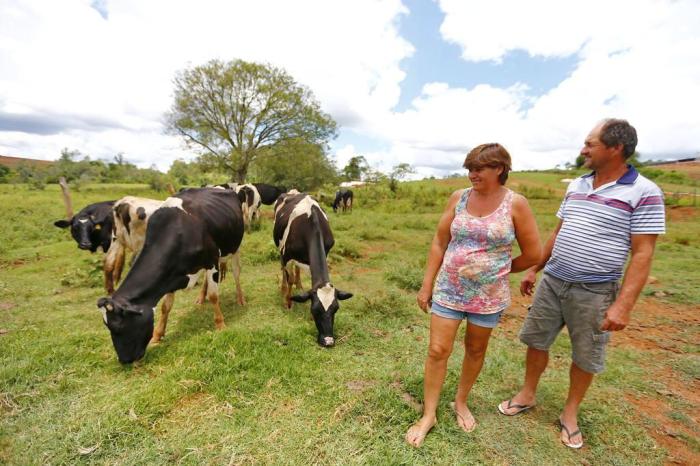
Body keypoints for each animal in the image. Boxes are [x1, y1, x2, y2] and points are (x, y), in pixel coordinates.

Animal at [96, 187, 246, 362]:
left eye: (119, 326)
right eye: (107, 326)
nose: (124, 360)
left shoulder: (212, 261)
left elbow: (214, 296)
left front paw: (220, 325)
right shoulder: (171, 274)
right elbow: (165, 307)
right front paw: (157, 335)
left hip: (235, 248)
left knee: (236, 273)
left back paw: (241, 299)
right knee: (206, 282)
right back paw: (200, 298)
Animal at [272, 191, 352, 348]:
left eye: (336, 308)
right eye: (315, 309)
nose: (328, 341)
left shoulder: (325, 253)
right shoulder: (286, 255)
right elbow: (289, 278)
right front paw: (287, 302)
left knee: (296, 270)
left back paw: (299, 285)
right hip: (280, 249)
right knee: (284, 271)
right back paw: (284, 289)